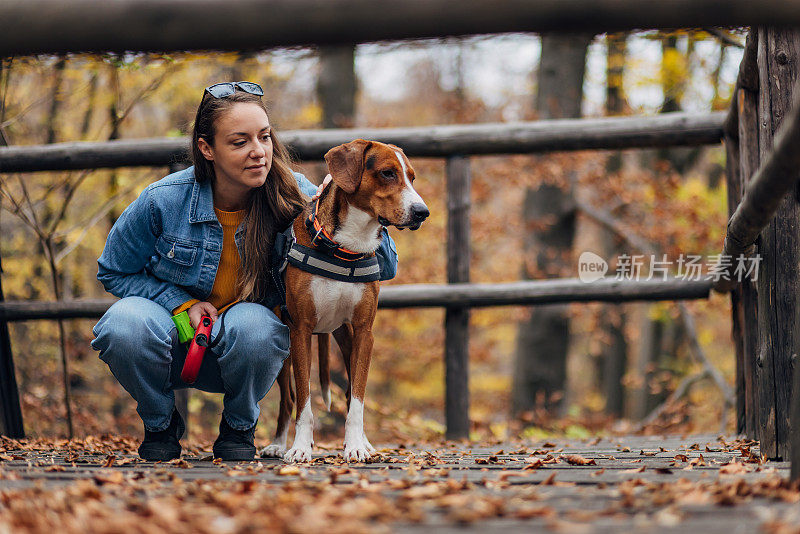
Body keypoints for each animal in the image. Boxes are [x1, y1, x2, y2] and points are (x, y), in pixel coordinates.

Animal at [260, 140, 428, 462]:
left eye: (412, 177)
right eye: (387, 173)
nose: (422, 212)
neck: (348, 245)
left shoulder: (364, 333)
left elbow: (357, 399)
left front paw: (355, 446)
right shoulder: (300, 331)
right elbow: (304, 402)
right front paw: (300, 447)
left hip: (345, 337)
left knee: (350, 391)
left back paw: (364, 442)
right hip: (284, 348)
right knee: (288, 399)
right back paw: (277, 444)